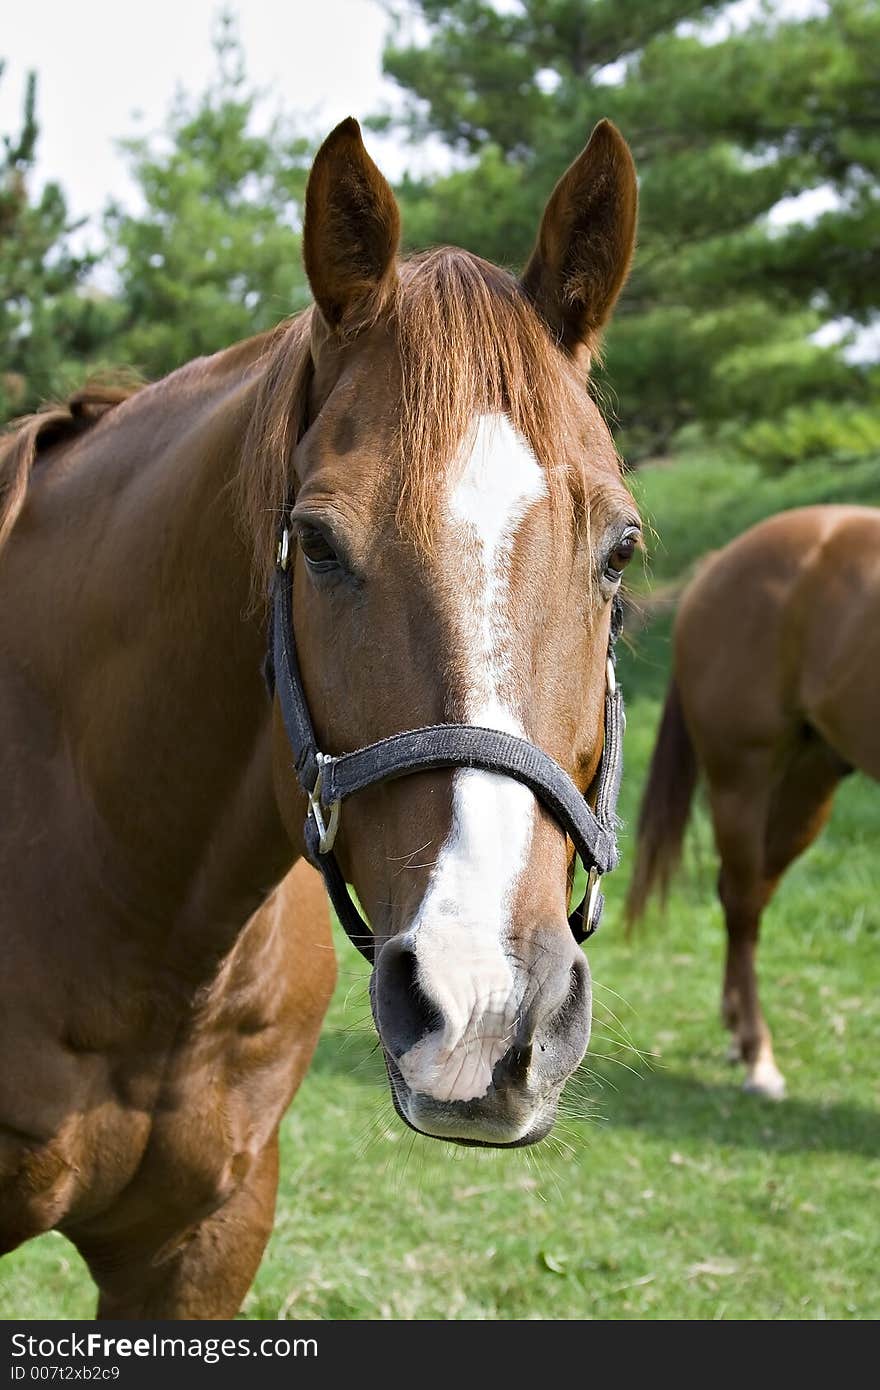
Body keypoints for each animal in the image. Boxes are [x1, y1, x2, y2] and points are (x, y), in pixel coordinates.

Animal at [625, 505, 878, 1100]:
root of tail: (721, 562)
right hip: (741, 781)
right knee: (741, 903)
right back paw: (757, 1055)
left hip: (807, 786)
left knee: (748, 896)